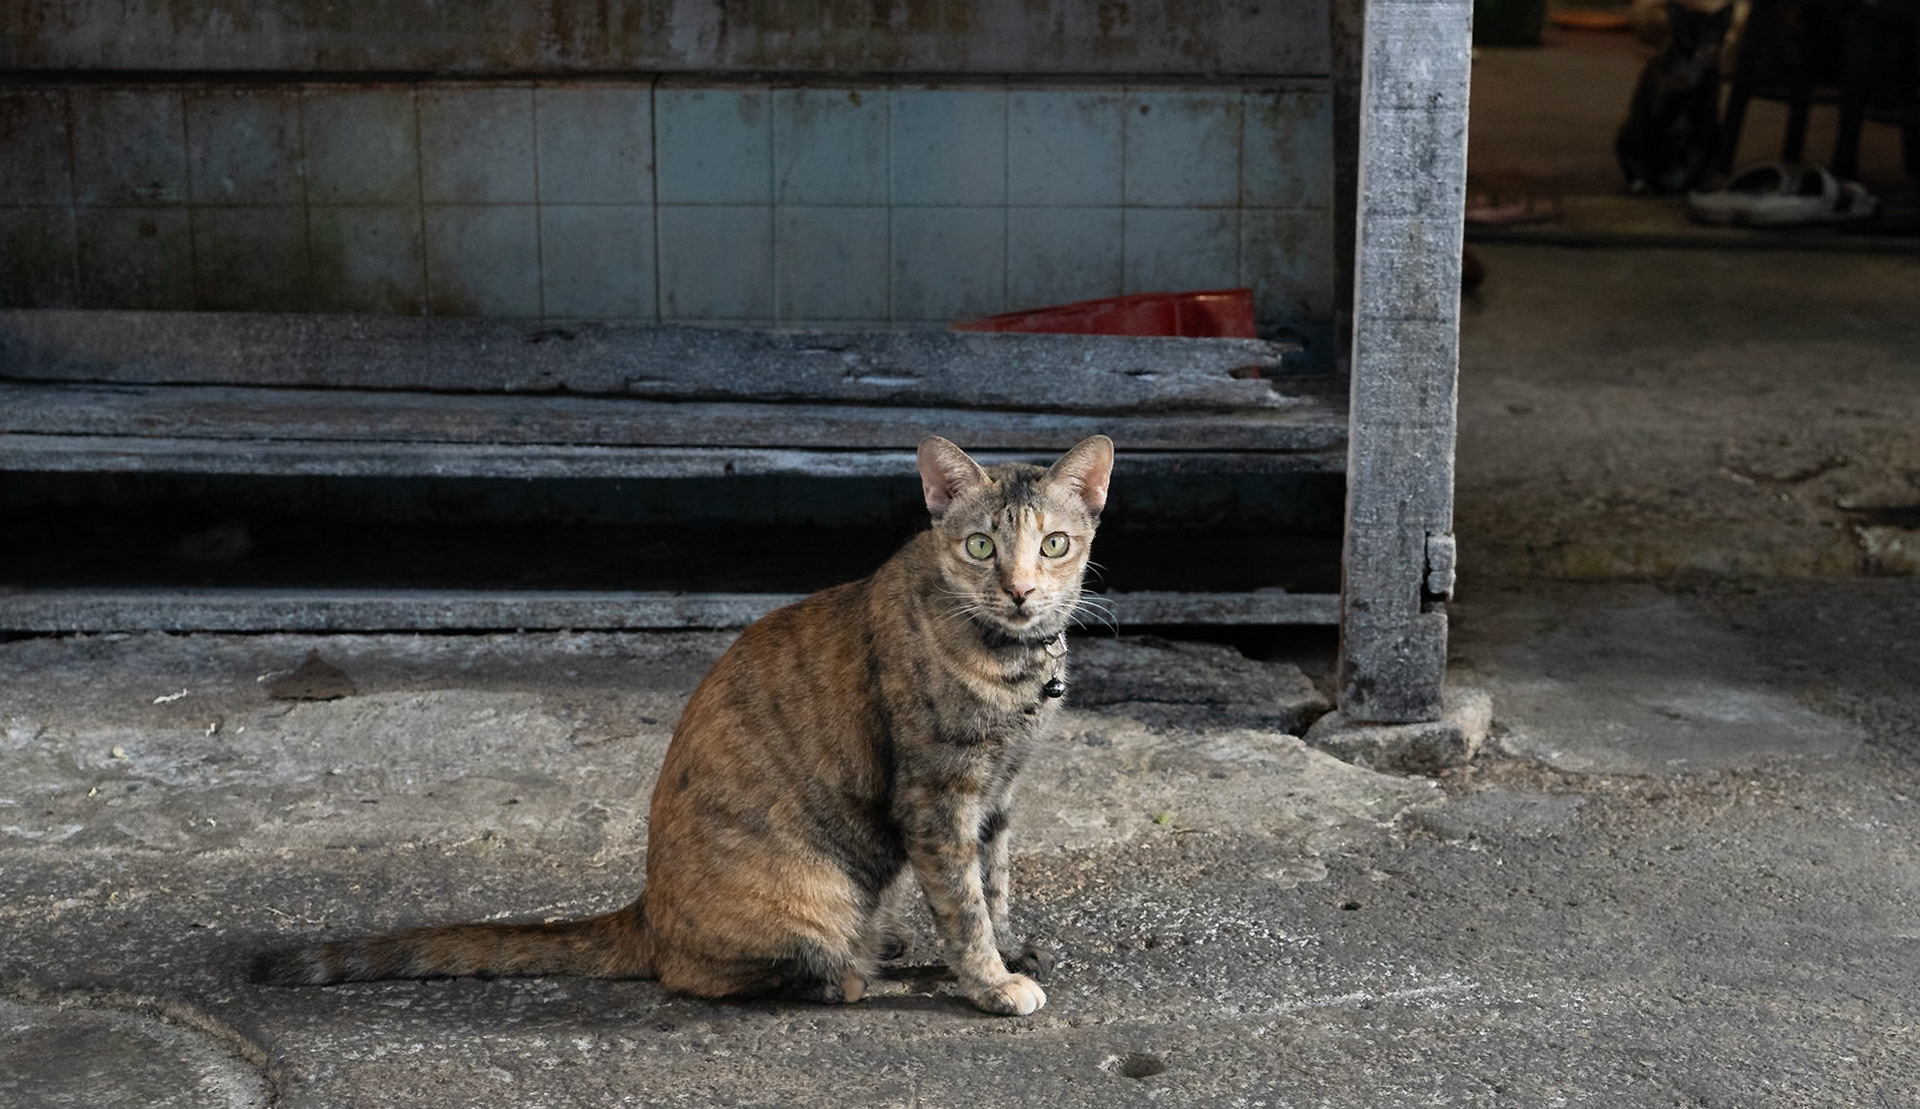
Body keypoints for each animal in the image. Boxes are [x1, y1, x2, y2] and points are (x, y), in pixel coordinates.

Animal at [254, 434, 1114, 1017]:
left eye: (1054, 543)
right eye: (979, 545)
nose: (1020, 590)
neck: (1014, 666)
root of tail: (646, 909)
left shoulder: (996, 797)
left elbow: (993, 885)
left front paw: (1005, 947)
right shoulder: (938, 799)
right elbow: (963, 904)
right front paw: (991, 982)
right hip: (812, 888)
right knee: (706, 974)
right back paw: (854, 970)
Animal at [1616, 1, 1735, 195]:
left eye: (1709, 36)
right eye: (1685, 37)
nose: (1696, 52)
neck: (1691, 78)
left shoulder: (1704, 118)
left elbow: (1697, 156)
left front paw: (1692, 189)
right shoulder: (1658, 117)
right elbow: (1654, 156)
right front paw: (1656, 188)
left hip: (1720, 134)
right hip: (1627, 132)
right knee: (1636, 165)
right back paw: (1641, 184)